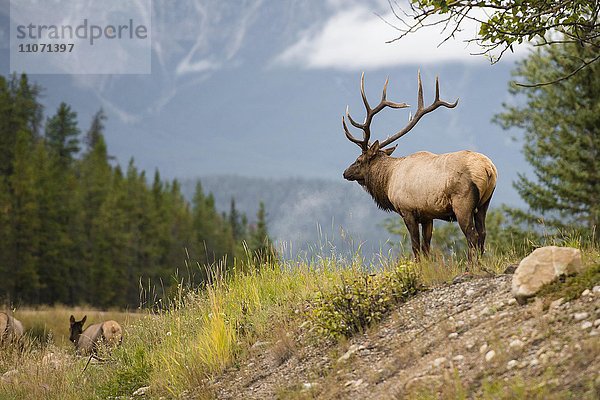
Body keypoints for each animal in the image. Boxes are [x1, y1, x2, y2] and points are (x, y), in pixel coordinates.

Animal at [342, 71, 496, 260]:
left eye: (359, 160)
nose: (345, 172)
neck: (388, 181)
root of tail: (488, 169)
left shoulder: (407, 210)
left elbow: (415, 246)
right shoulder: (427, 215)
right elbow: (426, 246)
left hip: (463, 203)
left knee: (472, 236)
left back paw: (470, 264)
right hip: (484, 203)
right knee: (483, 233)